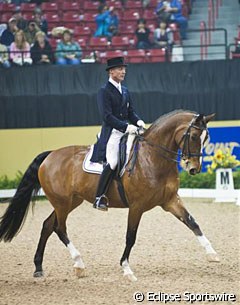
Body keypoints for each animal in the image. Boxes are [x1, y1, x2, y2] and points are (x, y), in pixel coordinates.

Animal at [0, 110, 219, 280]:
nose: (193, 169)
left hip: (70, 201)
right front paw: (127, 269)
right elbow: (130, 236)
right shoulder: (137, 206)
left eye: (206, 139)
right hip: (62, 202)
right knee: (59, 228)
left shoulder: (170, 200)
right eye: (193, 137)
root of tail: (50, 154)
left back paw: (38, 268)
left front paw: (212, 254)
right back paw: (79, 264)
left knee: (47, 225)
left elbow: (192, 222)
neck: (153, 158)